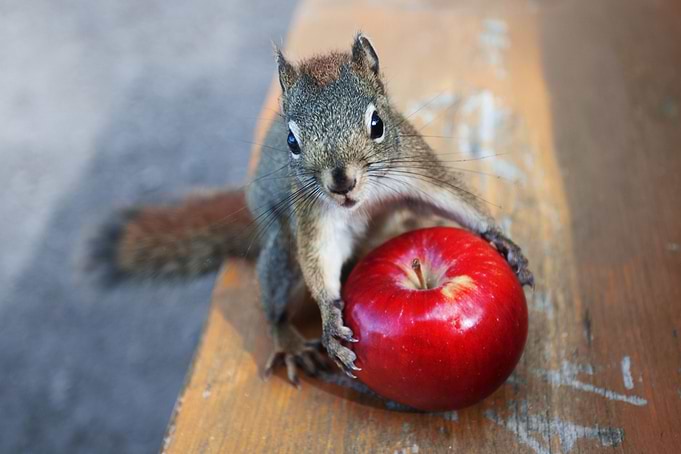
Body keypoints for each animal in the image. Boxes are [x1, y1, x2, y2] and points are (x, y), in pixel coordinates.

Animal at [90, 33, 533, 386]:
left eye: (377, 123)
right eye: (292, 142)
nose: (341, 182)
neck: (363, 200)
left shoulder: (416, 168)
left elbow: (453, 198)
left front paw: (502, 242)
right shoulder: (313, 214)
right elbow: (321, 258)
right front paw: (330, 321)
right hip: (281, 250)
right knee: (274, 301)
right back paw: (289, 341)